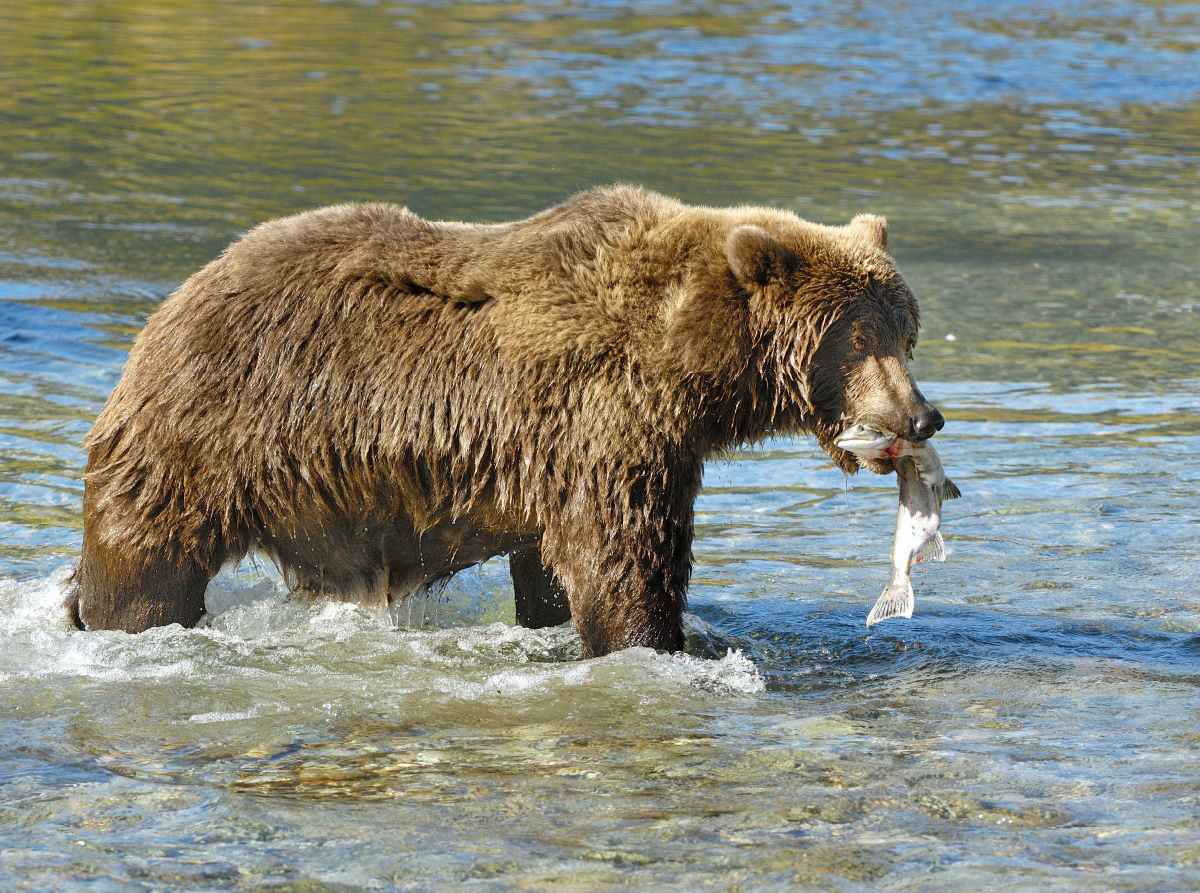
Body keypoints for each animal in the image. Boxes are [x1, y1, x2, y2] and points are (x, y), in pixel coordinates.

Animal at [70, 184, 940, 657]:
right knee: (143, 567)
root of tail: (170, 305)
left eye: (905, 331)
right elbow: (624, 564)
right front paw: (655, 643)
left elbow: (551, 569)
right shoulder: (603, 418)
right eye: (856, 338)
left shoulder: (575, 453)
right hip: (206, 438)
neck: (683, 359)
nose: (922, 415)